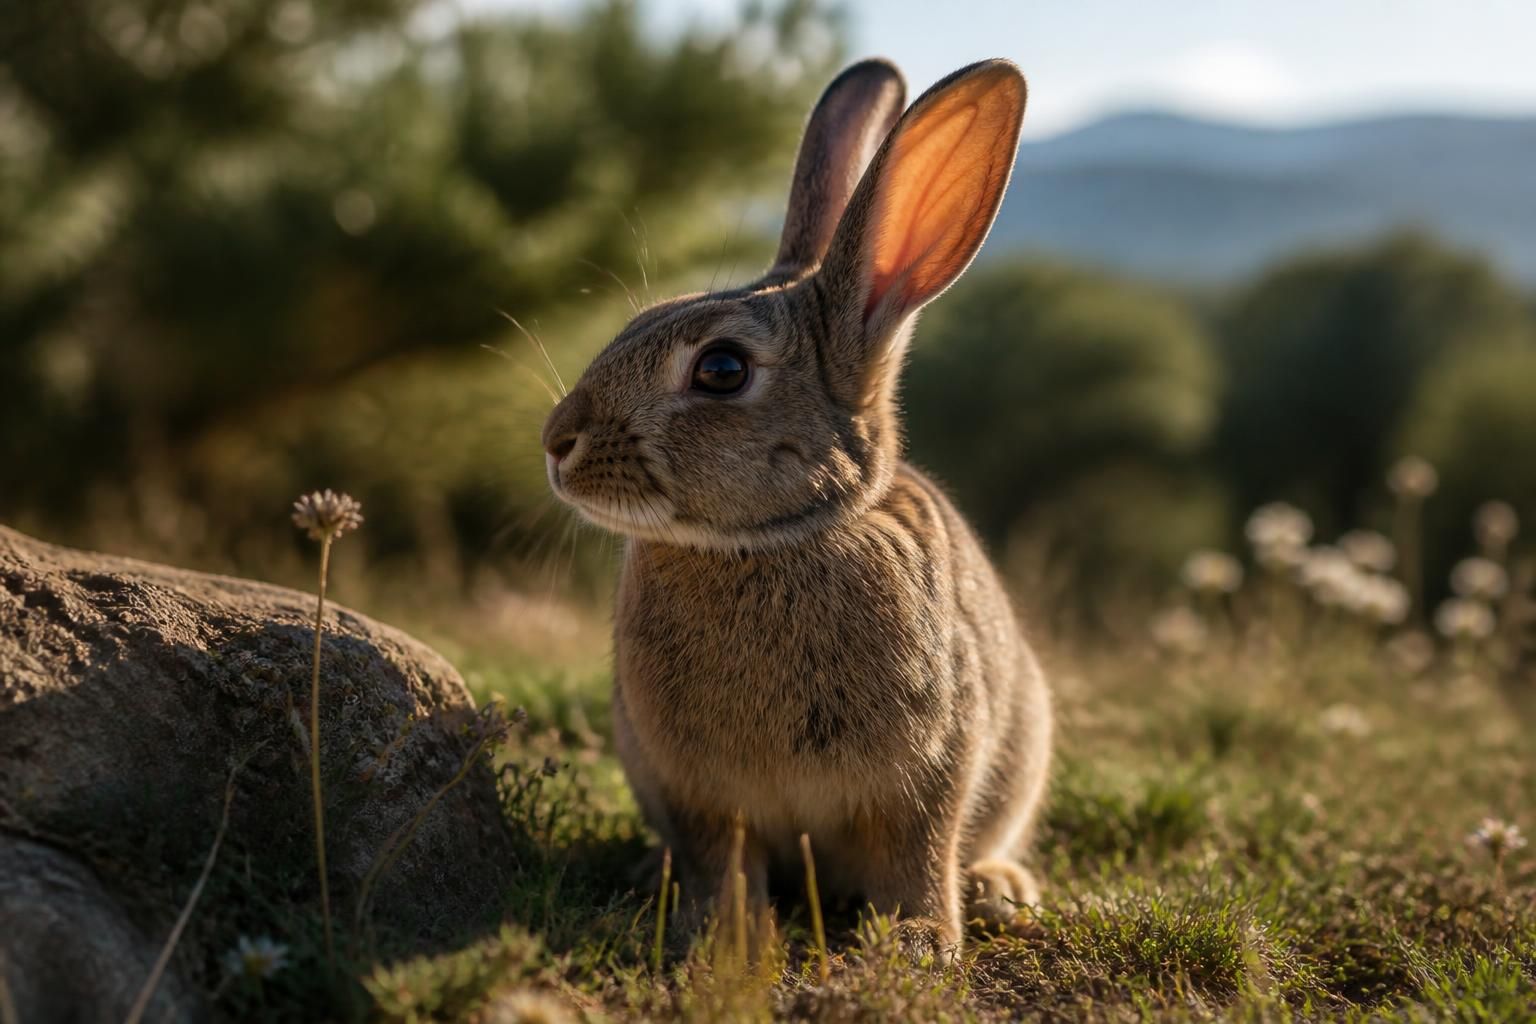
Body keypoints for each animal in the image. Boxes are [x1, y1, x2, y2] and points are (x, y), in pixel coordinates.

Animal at [541, 57, 1051, 954]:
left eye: (721, 370)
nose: (556, 442)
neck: (773, 542)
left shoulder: (931, 767)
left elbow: (919, 851)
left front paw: (919, 942)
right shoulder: (696, 789)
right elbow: (721, 857)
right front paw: (724, 935)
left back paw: (1000, 888)